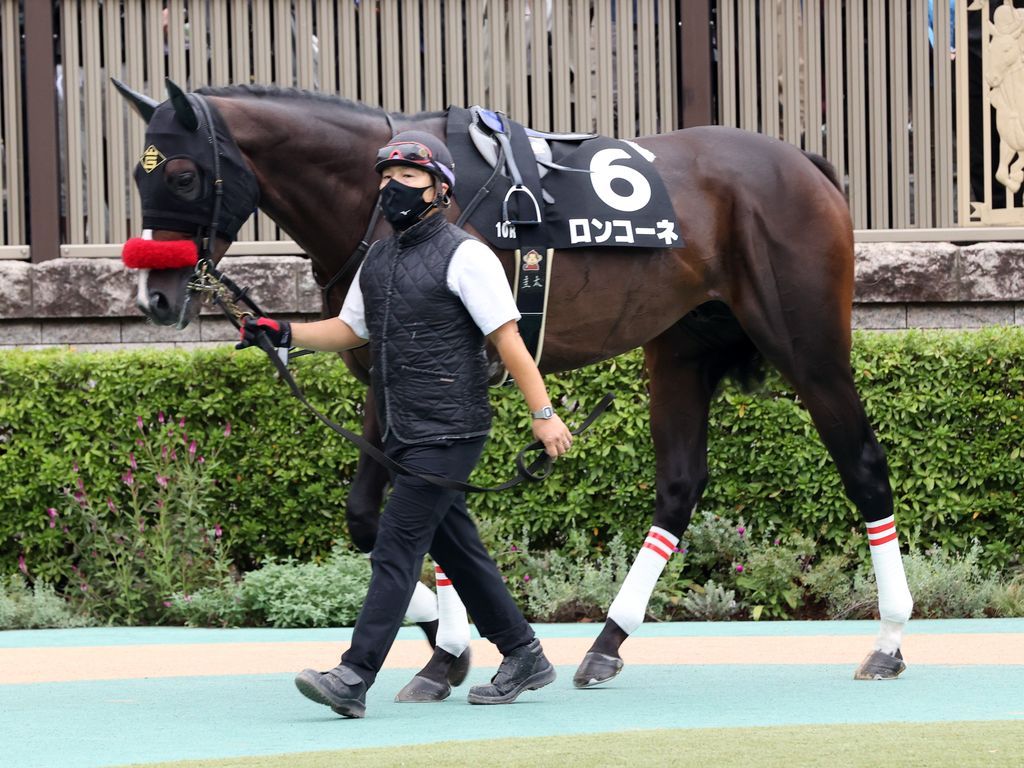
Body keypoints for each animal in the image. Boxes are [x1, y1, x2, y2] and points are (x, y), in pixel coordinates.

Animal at [115, 79, 914, 687]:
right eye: (138, 174)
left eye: (182, 174)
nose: (156, 296)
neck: (385, 206)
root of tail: (803, 162)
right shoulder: (389, 375)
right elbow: (388, 514)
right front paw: (447, 646)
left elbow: (406, 510)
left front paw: (450, 646)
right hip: (682, 345)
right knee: (680, 486)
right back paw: (605, 643)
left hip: (807, 343)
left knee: (863, 466)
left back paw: (888, 640)